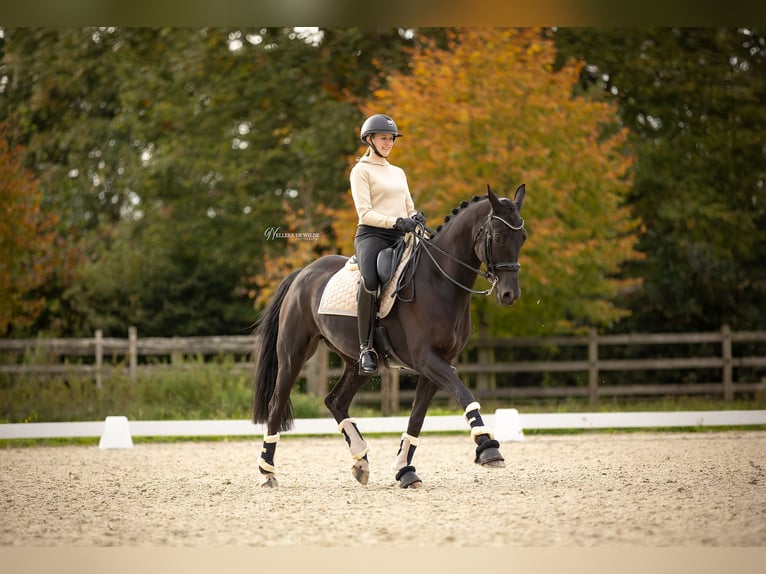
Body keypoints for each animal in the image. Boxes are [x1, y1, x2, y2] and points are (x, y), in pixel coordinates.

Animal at [252, 184, 528, 490]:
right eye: (499, 236)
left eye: (523, 238)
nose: (509, 295)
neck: (440, 282)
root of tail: (303, 273)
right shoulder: (426, 359)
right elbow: (463, 392)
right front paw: (488, 447)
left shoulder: (439, 361)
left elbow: (417, 416)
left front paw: (405, 470)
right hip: (294, 354)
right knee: (277, 404)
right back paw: (267, 471)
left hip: (357, 363)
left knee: (335, 401)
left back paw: (360, 460)